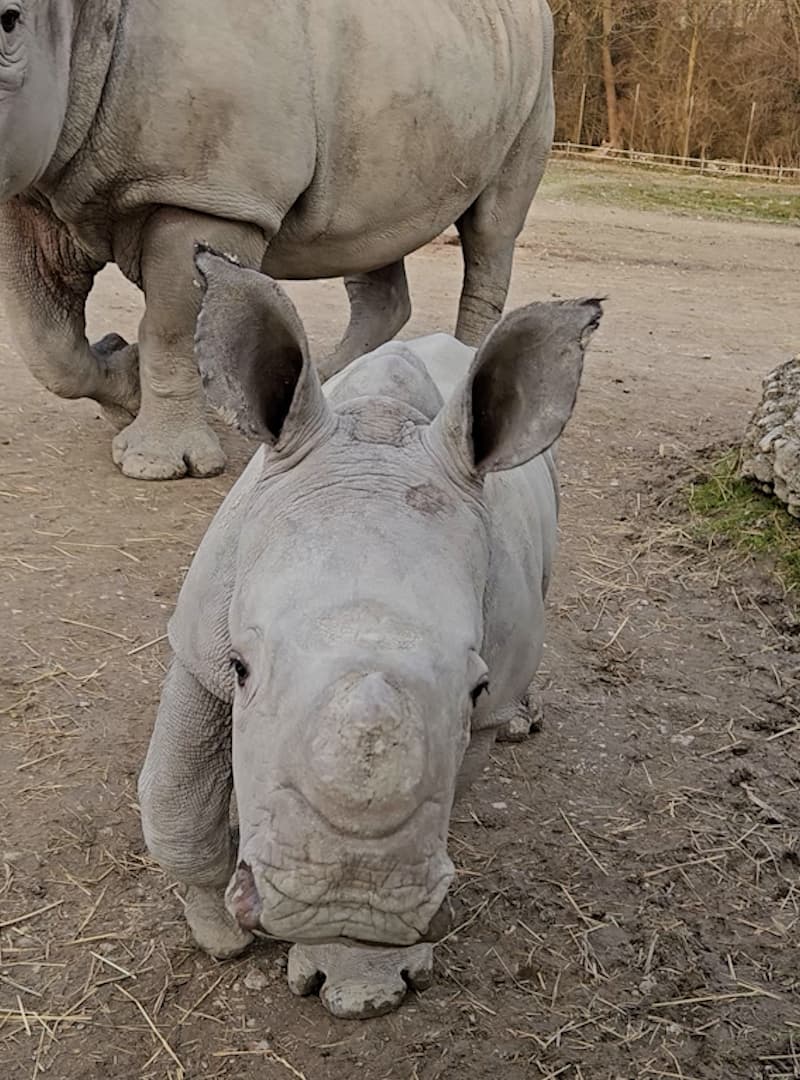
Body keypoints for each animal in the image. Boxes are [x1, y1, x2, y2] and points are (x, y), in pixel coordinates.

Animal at [0, 0, 555, 481]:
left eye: (8, 21)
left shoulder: (209, 194)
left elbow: (172, 325)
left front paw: (158, 465)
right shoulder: (38, 187)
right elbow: (46, 342)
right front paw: (127, 382)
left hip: (535, 78)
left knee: (492, 228)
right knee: (370, 231)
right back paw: (332, 386)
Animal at [137, 247, 602, 1018]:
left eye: (476, 688)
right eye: (241, 668)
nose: (346, 901)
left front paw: (359, 978)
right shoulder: (200, 642)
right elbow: (175, 797)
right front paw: (219, 935)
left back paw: (522, 723)